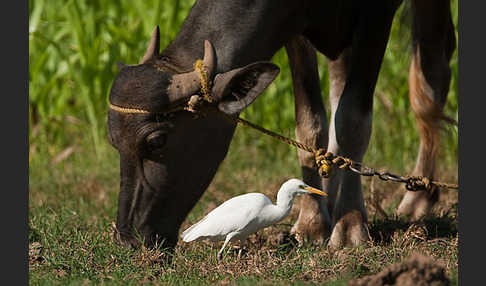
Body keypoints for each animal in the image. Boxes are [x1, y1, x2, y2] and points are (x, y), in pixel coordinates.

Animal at [106, 0, 456, 249]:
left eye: (156, 141)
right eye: (114, 142)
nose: (129, 238)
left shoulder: (377, 15)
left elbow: (353, 118)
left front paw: (350, 227)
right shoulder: (295, 28)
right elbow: (310, 123)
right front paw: (312, 222)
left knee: (432, 76)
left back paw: (419, 197)